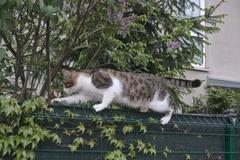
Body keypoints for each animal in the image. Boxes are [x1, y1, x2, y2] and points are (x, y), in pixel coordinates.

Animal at [51, 68, 202, 124]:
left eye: (65, 84)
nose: (63, 89)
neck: (86, 81)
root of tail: (160, 78)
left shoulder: (110, 88)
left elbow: (106, 99)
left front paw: (100, 106)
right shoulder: (84, 96)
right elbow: (71, 99)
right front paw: (57, 99)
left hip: (158, 103)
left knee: (172, 106)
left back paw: (166, 118)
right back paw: (143, 108)